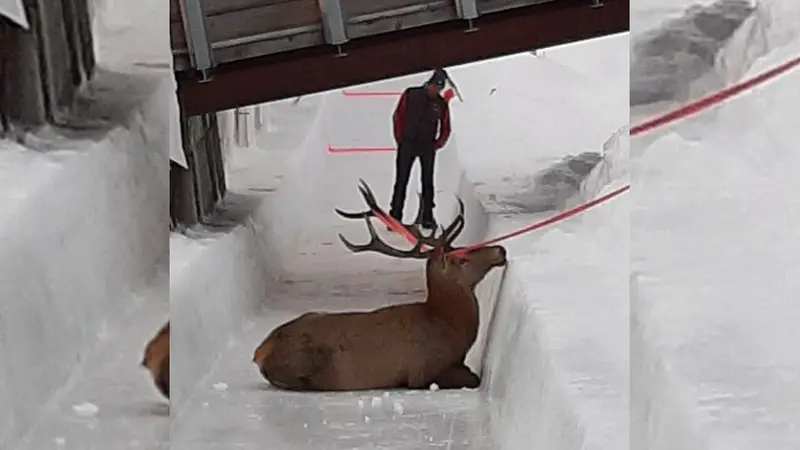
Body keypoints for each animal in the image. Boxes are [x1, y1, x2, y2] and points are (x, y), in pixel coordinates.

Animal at [252, 180, 507, 391]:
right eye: (461, 259)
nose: (500, 250)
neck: (450, 326)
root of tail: (261, 351)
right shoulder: (422, 370)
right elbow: (472, 378)